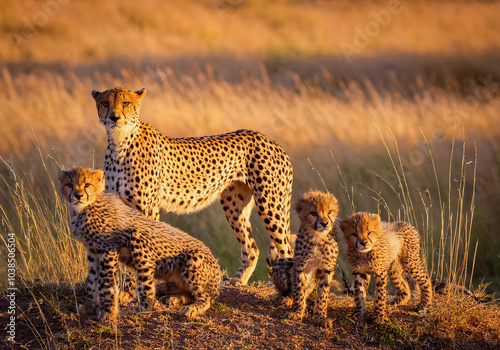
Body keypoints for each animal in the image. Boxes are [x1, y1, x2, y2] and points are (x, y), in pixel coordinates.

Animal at [59, 167, 222, 322]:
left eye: (87, 184)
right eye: (69, 185)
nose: (78, 196)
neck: (85, 208)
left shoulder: (109, 248)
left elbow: (106, 282)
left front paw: (108, 312)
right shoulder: (93, 251)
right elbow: (92, 281)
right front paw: (89, 306)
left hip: (183, 256)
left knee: (205, 298)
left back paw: (184, 308)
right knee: (188, 293)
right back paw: (172, 297)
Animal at [91, 87, 292, 284]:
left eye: (125, 103)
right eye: (105, 103)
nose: (114, 117)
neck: (119, 142)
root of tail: (272, 141)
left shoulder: (147, 209)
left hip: (269, 205)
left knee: (287, 249)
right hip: (234, 204)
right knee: (252, 247)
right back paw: (238, 280)